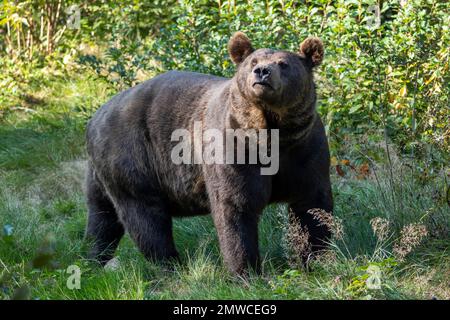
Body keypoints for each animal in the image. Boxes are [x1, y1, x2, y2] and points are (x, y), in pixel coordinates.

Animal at [85, 31, 330, 276]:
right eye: (253, 61)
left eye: (283, 63)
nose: (262, 71)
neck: (272, 134)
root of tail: (95, 116)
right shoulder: (234, 147)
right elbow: (236, 206)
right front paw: (245, 270)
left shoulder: (304, 149)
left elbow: (311, 205)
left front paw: (316, 259)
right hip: (132, 155)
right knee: (145, 216)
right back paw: (170, 264)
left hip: (102, 171)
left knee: (102, 218)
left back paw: (93, 257)